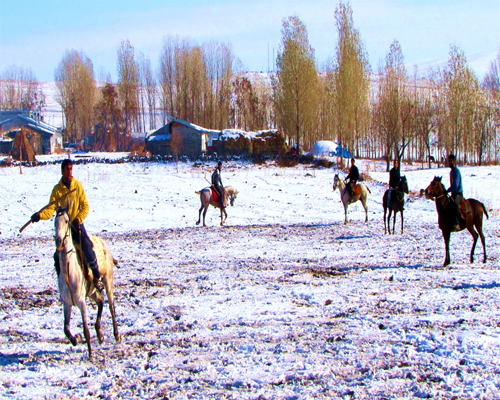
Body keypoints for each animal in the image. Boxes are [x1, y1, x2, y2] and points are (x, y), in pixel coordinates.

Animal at [54, 208, 121, 358]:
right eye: (54, 221)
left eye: (66, 221)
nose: (59, 240)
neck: (69, 271)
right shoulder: (67, 302)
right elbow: (66, 328)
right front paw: (75, 340)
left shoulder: (81, 302)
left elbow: (86, 330)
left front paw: (90, 355)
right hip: (91, 291)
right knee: (100, 300)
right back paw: (100, 335)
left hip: (108, 281)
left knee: (111, 306)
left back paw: (117, 335)